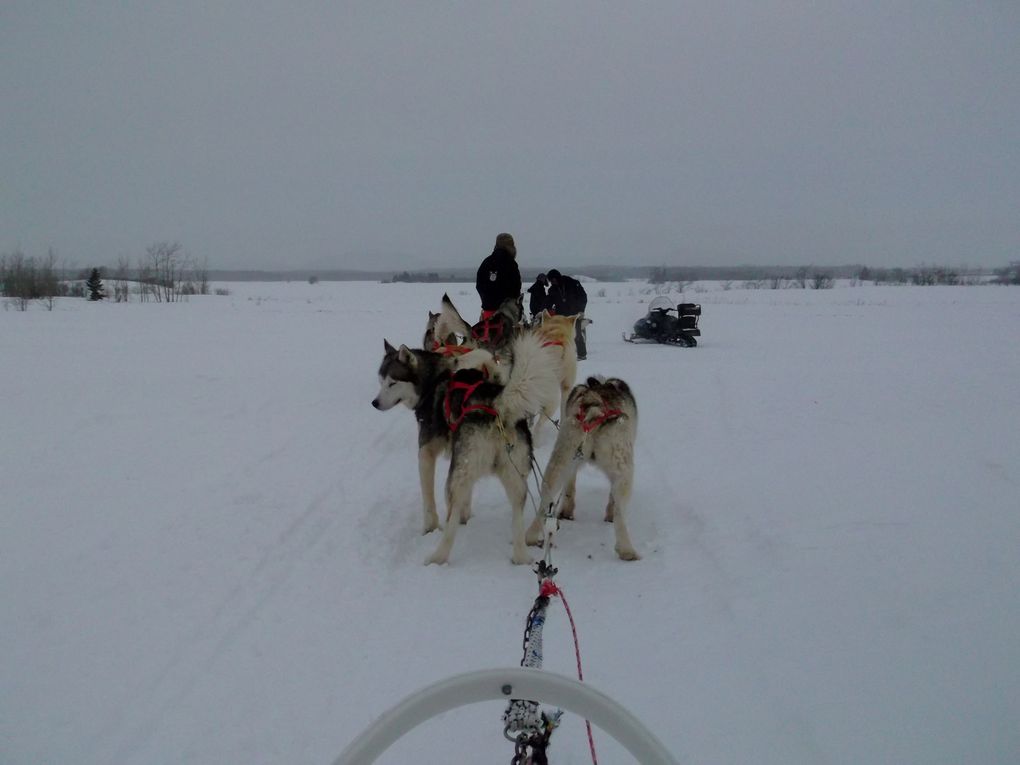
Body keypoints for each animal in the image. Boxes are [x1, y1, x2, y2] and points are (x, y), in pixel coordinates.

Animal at [371, 332, 558, 567]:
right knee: (517, 514)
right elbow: (467, 497)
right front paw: (466, 516)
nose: (375, 403)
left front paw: (430, 527)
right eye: (381, 382)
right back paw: (521, 556)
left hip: (457, 478)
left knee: (450, 523)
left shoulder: (426, 453)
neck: (435, 379)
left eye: (392, 383)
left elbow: (428, 498)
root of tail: (498, 406)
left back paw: (437, 557)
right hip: (513, 478)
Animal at [526, 379, 636, 563]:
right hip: (624, 471)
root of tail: (595, 410)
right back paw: (626, 549)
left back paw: (531, 536)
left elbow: (570, 487)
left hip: (560, 460)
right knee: (620, 512)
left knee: (544, 503)